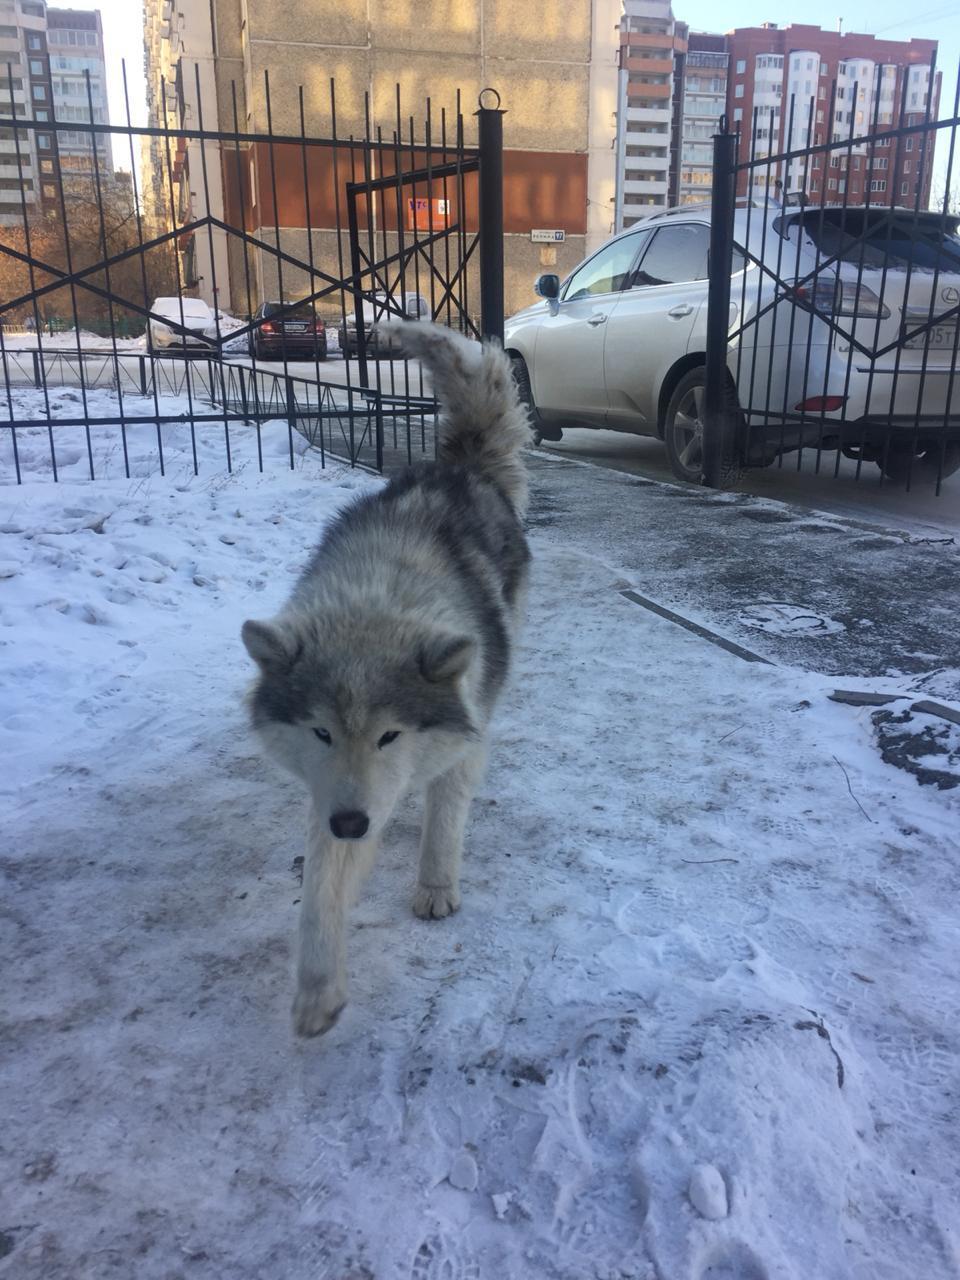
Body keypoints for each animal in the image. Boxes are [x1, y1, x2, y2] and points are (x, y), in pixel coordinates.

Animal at [238, 322, 529, 1039]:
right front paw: (318, 992)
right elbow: (318, 892)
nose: (351, 823)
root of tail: (457, 465)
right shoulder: (330, 795)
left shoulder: (458, 742)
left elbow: (445, 820)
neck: (379, 598)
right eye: (320, 732)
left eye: (390, 736)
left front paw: (434, 890)